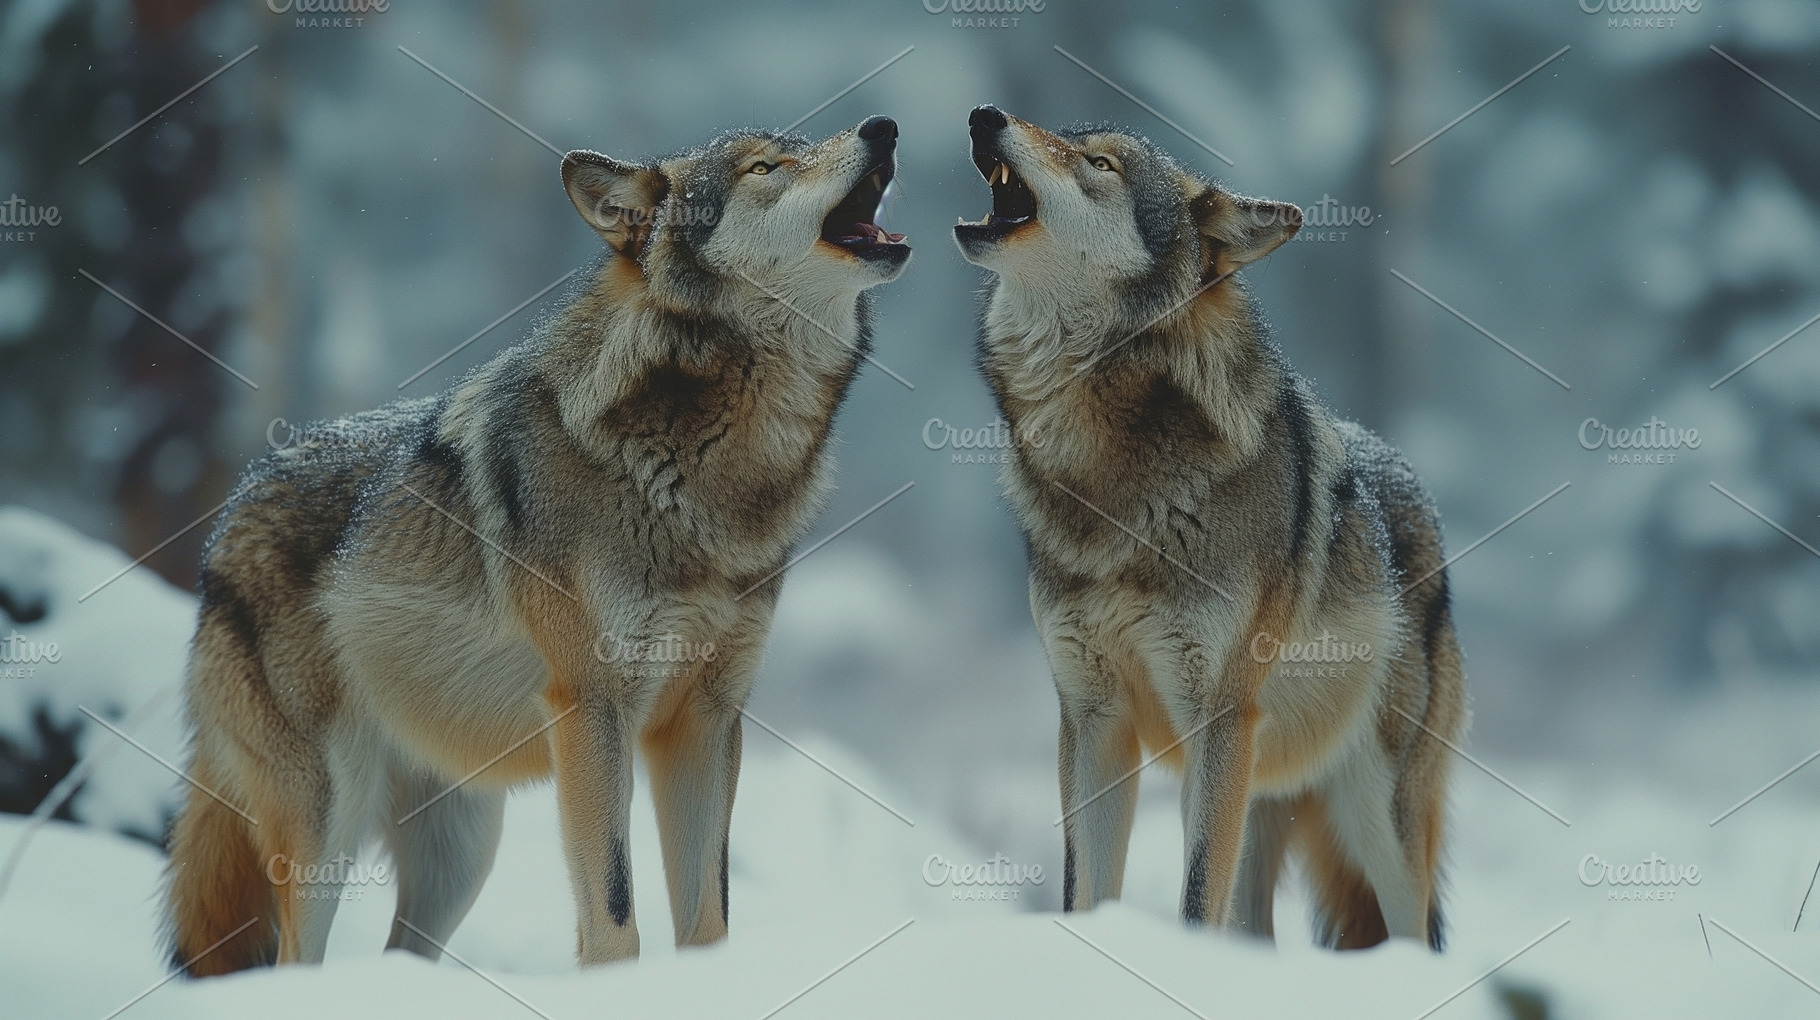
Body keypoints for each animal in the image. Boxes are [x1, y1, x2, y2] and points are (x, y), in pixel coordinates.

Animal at [163, 115, 910, 973]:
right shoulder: (591, 708)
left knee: (401, 954)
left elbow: (708, 920)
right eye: (767, 166)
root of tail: (228, 517)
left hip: (463, 850)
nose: (883, 126)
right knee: (296, 958)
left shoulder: (707, 719)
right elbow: (615, 913)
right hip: (328, 823)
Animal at [955, 105, 1465, 949]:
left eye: (1099, 163)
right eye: (1064, 134)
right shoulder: (1091, 719)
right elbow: (1083, 891)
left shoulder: (1217, 719)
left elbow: (1195, 900)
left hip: (1375, 818)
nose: (985, 116)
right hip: (1263, 801)